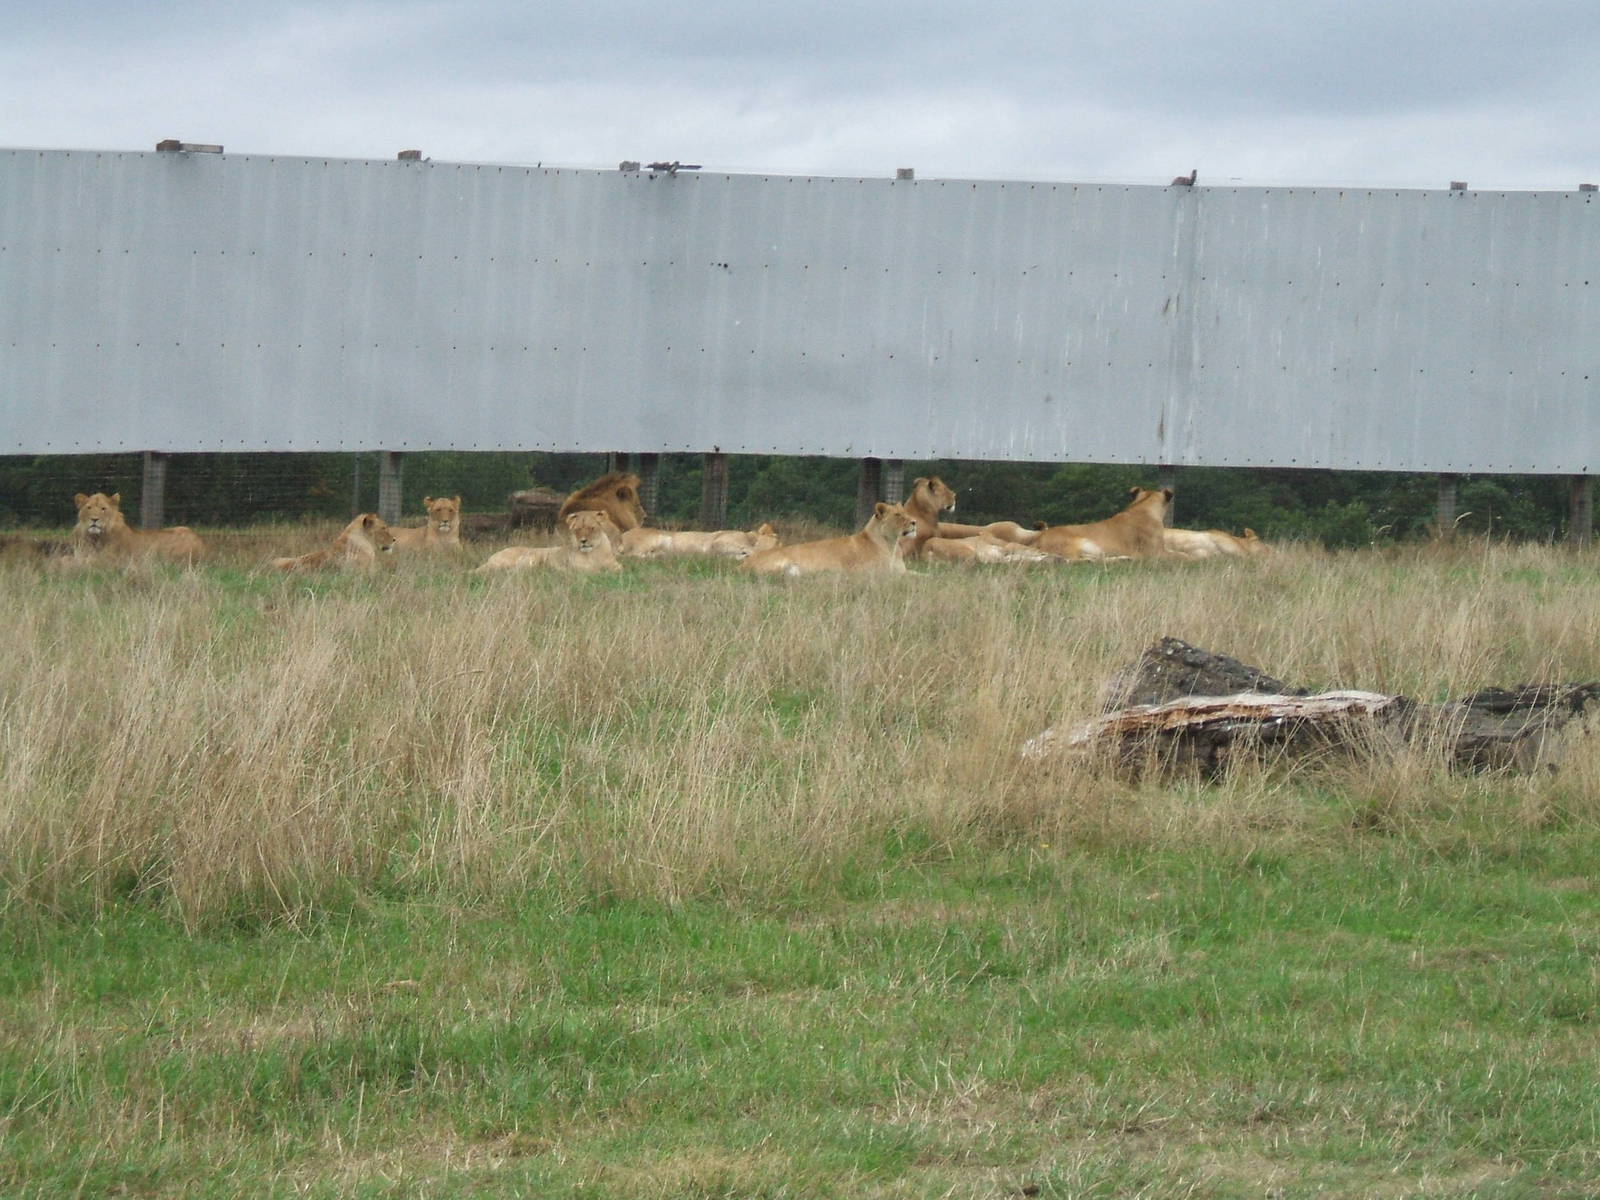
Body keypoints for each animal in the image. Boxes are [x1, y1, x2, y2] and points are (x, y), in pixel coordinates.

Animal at [72, 492, 204, 562]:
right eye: (89, 508)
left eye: (103, 508)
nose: (94, 519)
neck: (94, 537)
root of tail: (201, 541)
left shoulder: (108, 558)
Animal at [475, 510, 623, 573]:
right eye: (577, 529)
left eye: (591, 528)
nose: (583, 541)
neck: (593, 553)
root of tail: (490, 559)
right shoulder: (576, 567)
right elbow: (591, 570)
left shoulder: (616, 565)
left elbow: (618, 568)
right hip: (532, 556)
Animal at [741, 502, 916, 577]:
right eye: (898, 515)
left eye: (906, 512)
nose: (915, 522)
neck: (892, 544)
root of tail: (743, 564)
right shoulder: (876, 574)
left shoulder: (901, 571)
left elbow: (920, 575)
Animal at [1034, 487, 1172, 560]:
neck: (1142, 506)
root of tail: (1040, 537)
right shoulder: (1155, 554)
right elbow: (1177, 556)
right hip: (1081, 544)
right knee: (1073, 560)